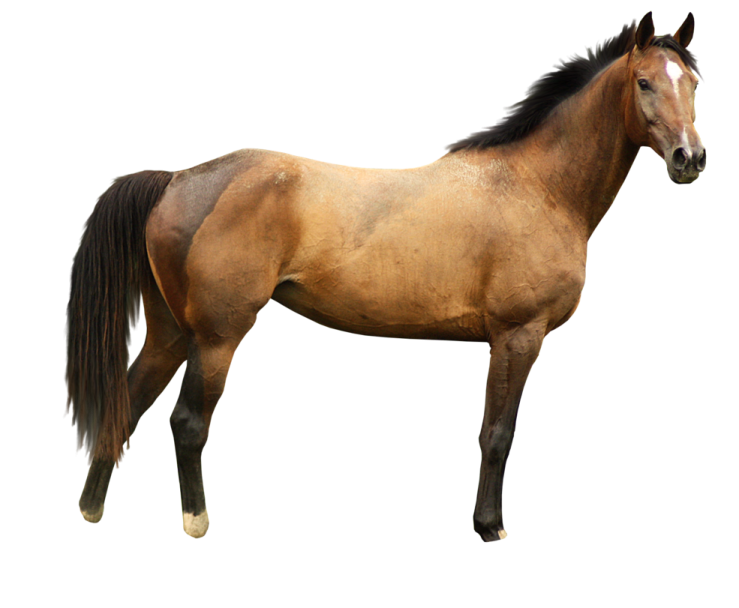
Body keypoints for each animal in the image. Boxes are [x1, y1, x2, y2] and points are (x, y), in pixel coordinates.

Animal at [64, 11, 705, 542]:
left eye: (693, 84)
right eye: (644, 82)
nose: (689, 158)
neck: (535, 185)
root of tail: (177, 180)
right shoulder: (517, 336)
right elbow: (496, 435)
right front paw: (489, 526)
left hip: (171, 332)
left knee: (128, 402)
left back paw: (92, 507)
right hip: (217, 338)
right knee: (188, 423)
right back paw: (196, 521)